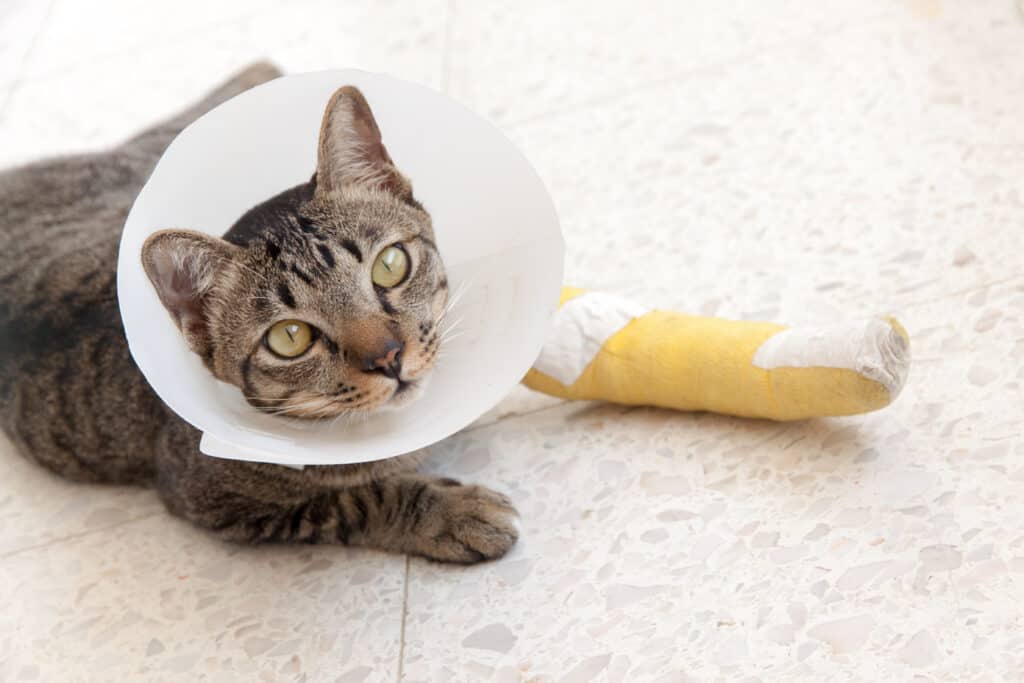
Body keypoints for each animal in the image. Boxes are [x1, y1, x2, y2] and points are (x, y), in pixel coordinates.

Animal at [0, 62, 516, 565]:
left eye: (389, 266)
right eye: (290, 337)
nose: (388, 357)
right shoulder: (215, 501)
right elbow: (358, 500)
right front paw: (454, 513)